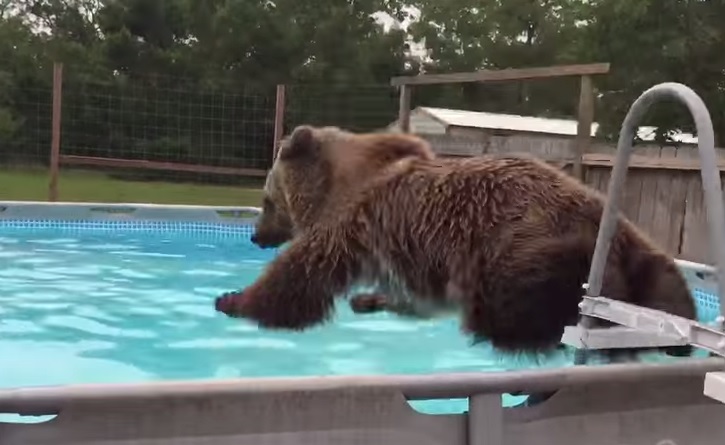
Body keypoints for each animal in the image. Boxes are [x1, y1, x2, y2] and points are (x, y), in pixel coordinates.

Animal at [216, 124, 697, 361]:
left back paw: (502, 336)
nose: (256, 235)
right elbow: (414, 295)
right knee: (669, 286)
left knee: (513, 310)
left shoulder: (349, 222)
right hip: (640, 248)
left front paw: (234, 299)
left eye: (266, 199)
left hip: (523, 249)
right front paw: (369, 299)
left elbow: (300, 277)